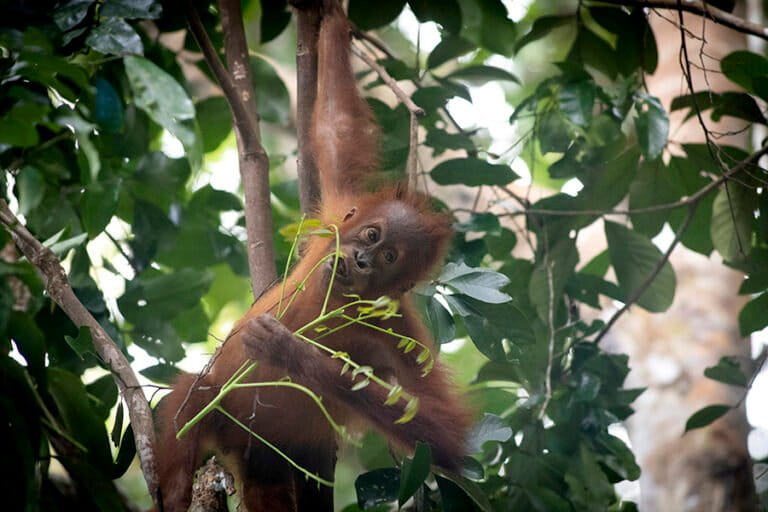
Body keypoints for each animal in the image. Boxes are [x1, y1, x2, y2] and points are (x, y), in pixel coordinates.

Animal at [156, 3, 471, 511]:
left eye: (389, 258)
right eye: (371, 234)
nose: (360, 260)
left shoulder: (399, 331)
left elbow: (443, 436)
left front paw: (290, 351)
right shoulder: (336, 215)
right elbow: (334, 128)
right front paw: (329, 15)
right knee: (194, 394)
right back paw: (175, 488)